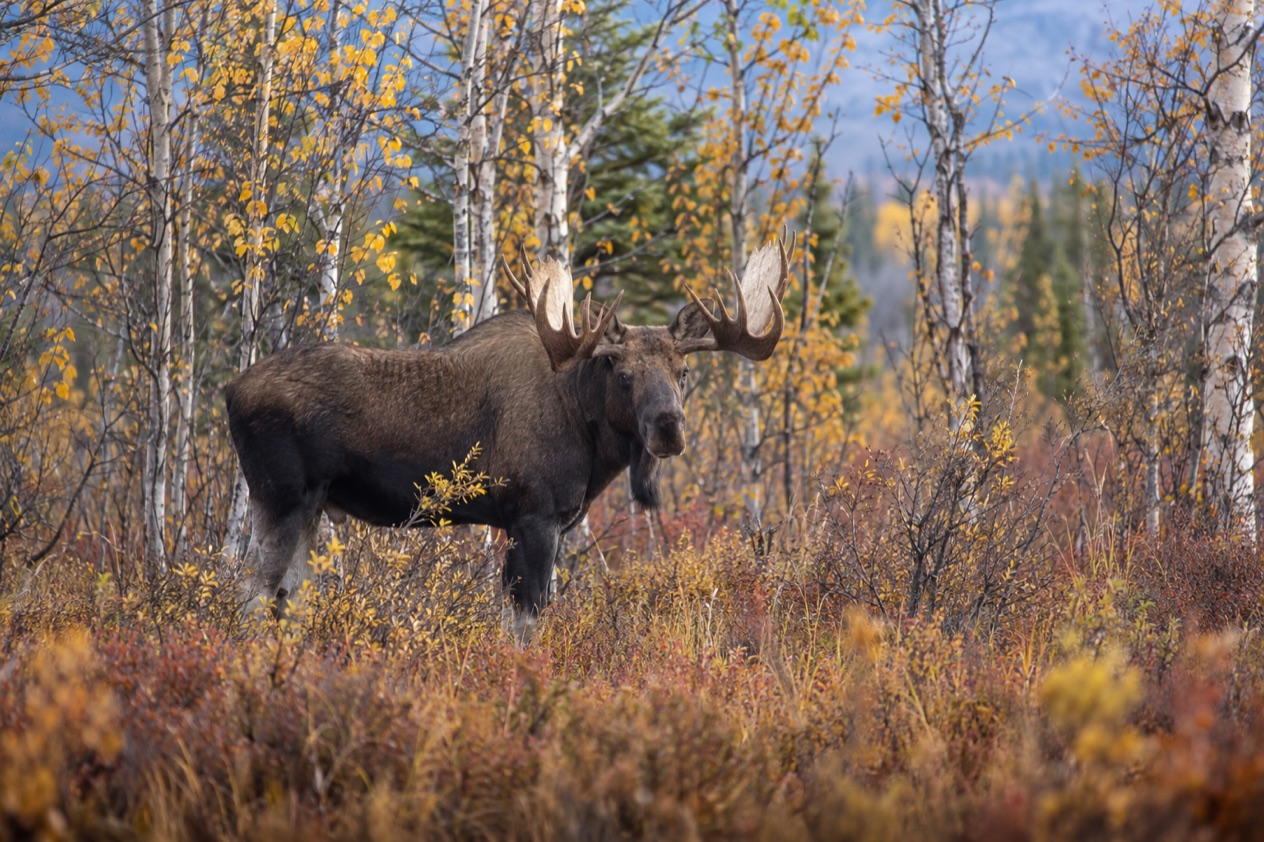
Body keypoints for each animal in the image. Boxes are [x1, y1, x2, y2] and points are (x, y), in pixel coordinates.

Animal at [224, 232, 795, 640]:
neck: (588, 437)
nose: (668, 427)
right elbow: (528, 621)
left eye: (683, 371)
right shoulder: (534, 516)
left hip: (309, 507)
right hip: (281, 497)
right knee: (252, 593)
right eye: (621, 372)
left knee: (287, 597)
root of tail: (229, 391)